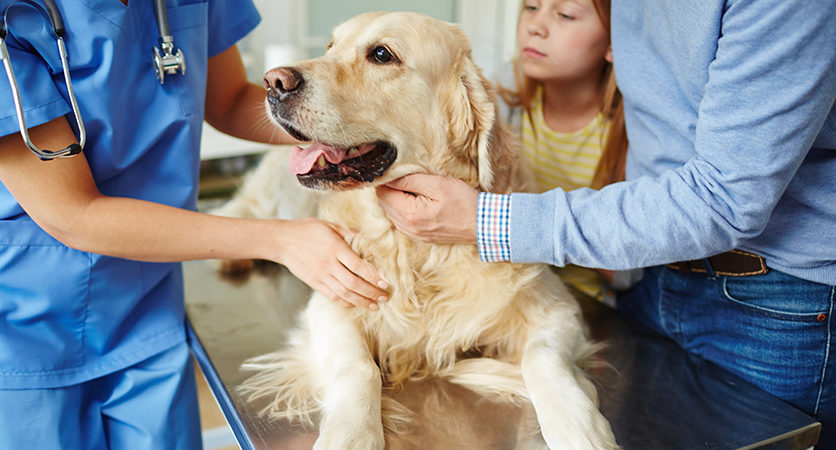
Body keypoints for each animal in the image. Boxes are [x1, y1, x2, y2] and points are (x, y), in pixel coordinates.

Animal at [224, 10, 620, 450]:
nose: (273, 82)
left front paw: (581, 427)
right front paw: (352, 433)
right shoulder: (332, 300)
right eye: (330, 46)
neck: (417, 250)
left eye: (382, 54)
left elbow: (542, 358)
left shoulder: (558, 308)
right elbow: (359, 367)